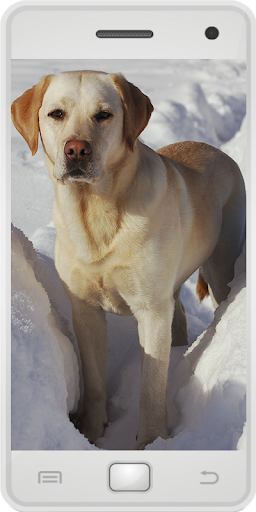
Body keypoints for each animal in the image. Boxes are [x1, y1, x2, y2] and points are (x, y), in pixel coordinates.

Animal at [12, 71, 246, 448]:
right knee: (179, 312)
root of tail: (217, 150)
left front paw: (151, 441)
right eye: (56, 114)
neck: (96, 212)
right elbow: (94, 381)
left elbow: (151, 386)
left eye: (104, 115)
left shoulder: (151, 310)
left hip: (220, 265)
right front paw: (92, 432)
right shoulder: (85, 310)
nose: (76, 150)